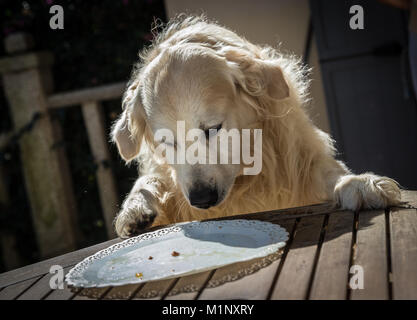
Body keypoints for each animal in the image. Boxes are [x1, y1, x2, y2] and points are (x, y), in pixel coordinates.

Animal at [110, 16, 400, 239]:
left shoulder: (299, 160)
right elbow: (149, 180)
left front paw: (359, 183)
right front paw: (135, 208)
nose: (201, 198)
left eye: (213, 128)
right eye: (167, 143)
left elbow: (328, 170)